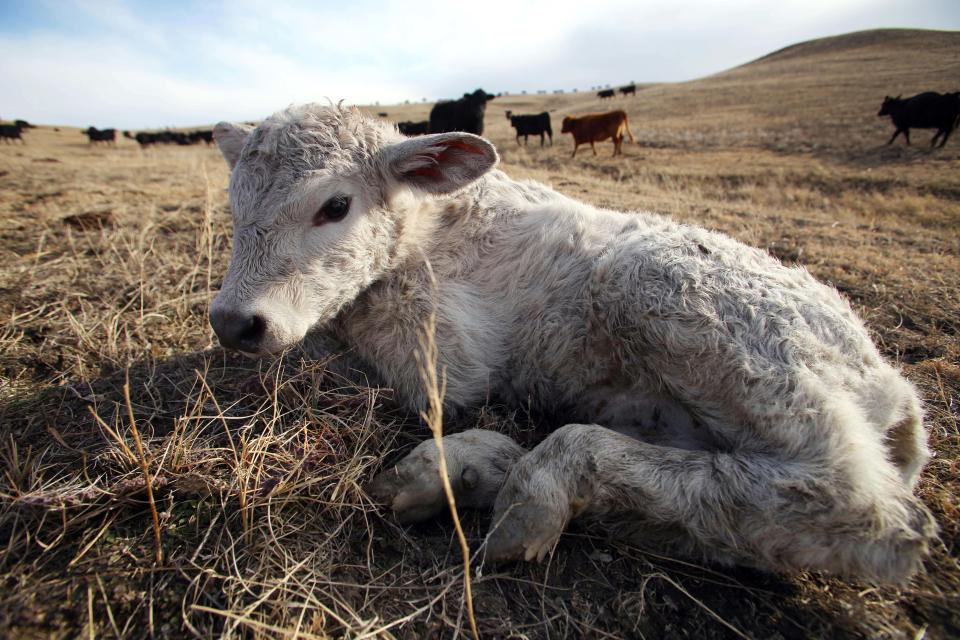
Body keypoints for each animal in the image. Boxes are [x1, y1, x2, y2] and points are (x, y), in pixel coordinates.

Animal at [206, 105, 932, 584]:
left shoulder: (439, 352)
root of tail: (895, 391)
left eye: (335, 207)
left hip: (682, 297)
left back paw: (533, 482)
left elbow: (340, 351)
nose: (233, 321)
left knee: (866, 510)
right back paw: (476, 473)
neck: (433, 226)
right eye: (235, 206)